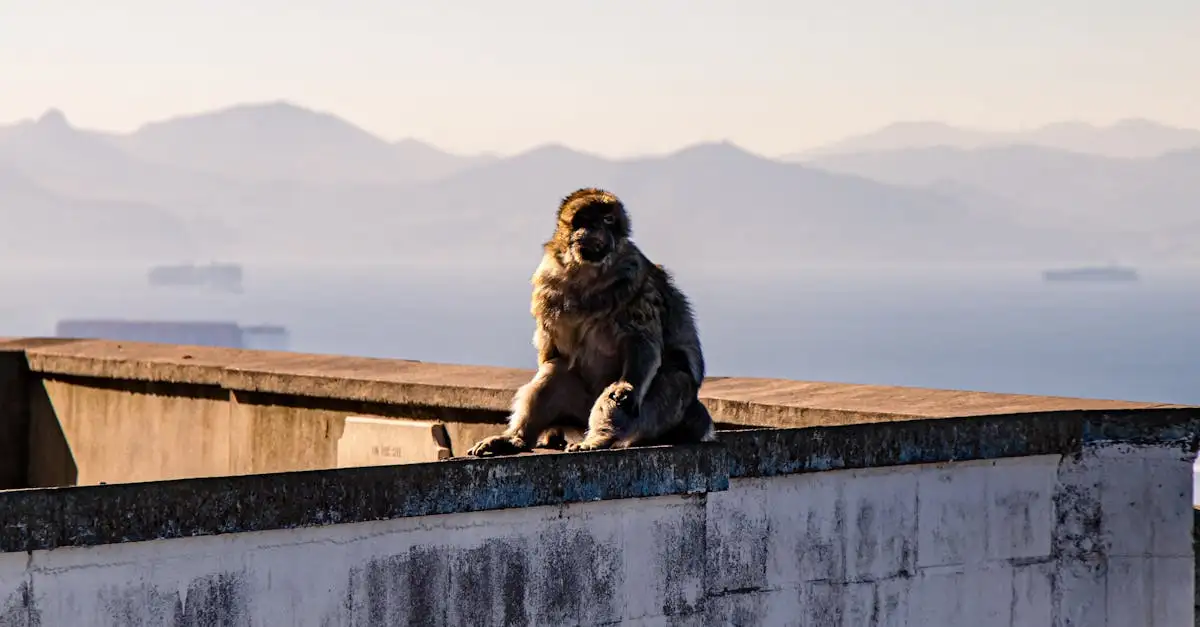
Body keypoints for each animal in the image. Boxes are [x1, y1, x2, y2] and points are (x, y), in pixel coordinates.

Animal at [466, 188, 716, 457]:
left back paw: (599, 438)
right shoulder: (547, 284)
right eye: (585, 219)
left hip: (667, 415)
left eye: (607, 220)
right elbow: (551, 353)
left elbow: (641, 345)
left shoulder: (637, 283)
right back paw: (515, 439)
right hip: (577, 410)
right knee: (555, 370)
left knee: (670, 376)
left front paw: (625, 386)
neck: (587, 274)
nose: (595, 228)